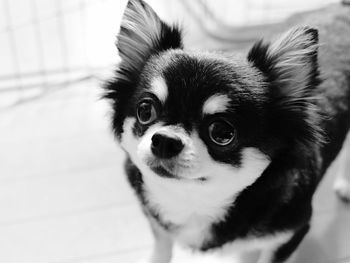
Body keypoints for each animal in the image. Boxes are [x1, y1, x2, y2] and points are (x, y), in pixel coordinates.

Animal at [103, 1, 350, 262]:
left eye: (222, 132)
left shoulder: (290, 235)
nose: (164, 140)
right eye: (145, 110)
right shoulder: (158, 227)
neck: (194, 200)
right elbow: (160, 252)